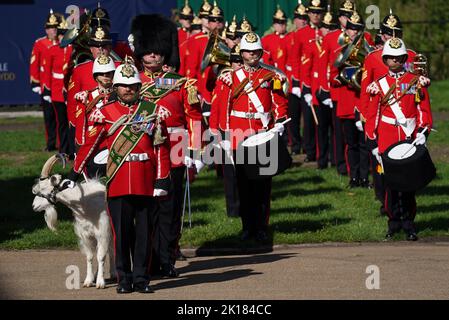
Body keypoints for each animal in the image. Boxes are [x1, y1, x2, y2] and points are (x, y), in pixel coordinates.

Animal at [31, 155, 114, 290]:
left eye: (43, 189)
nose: (34, 206)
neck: (85, 204)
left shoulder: (103, 232)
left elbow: (101, 256)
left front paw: (100, 283)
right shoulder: (86, 235)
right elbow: (90, 256)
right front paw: (89, 281)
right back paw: (111, 274)